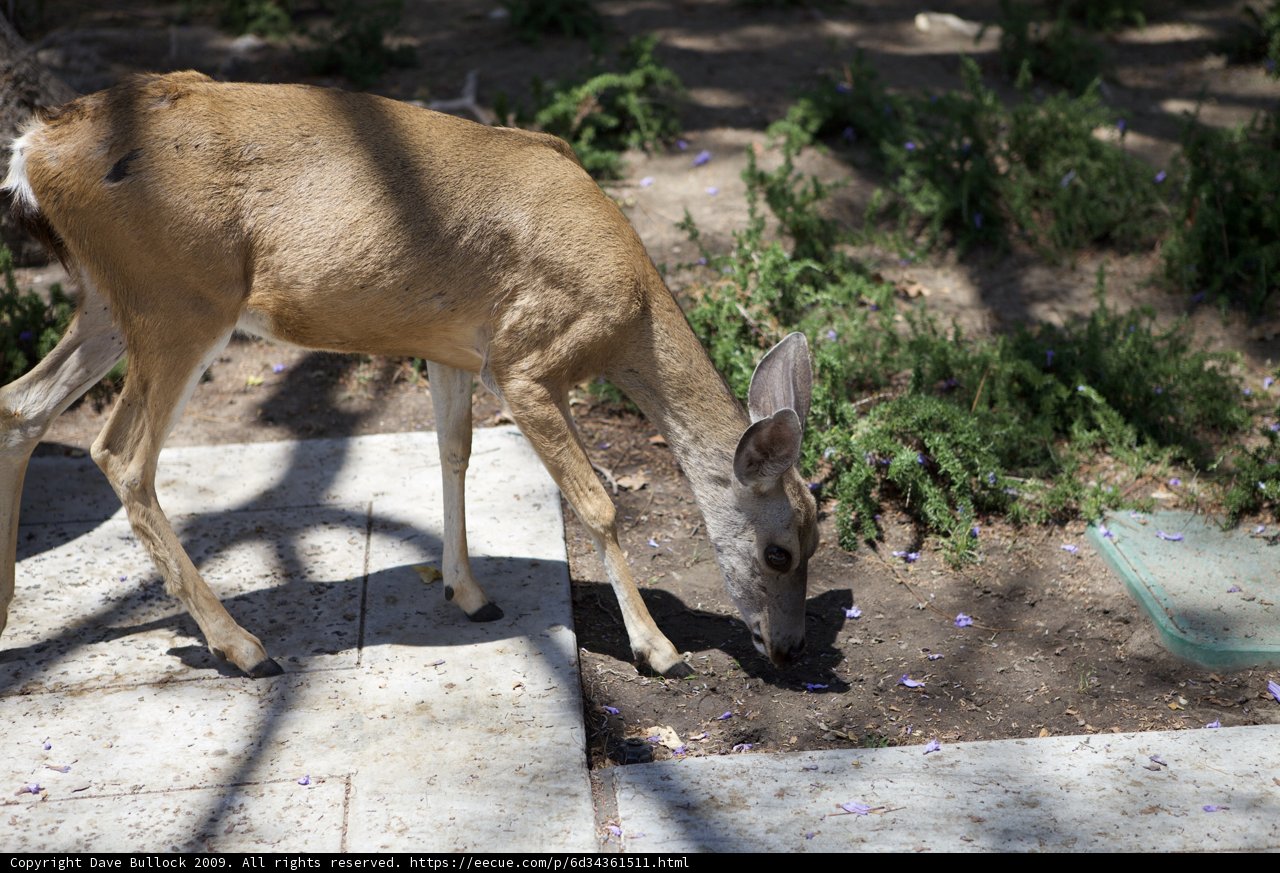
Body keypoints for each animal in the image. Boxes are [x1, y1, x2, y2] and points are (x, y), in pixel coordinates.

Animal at [0, 71, 817, 680]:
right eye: (778, 550)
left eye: (816, 539)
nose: (789, 649)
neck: (631, 308)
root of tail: (33, 148)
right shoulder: (526, 360)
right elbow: (598, 502)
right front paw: (660, 649)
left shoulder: (454, 349)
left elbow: (453, 453)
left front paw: (469, 591)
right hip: (180, 299)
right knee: (118, 452)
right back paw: (244, 647)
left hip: (110, 300)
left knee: (21, 407)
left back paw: (9, 614)